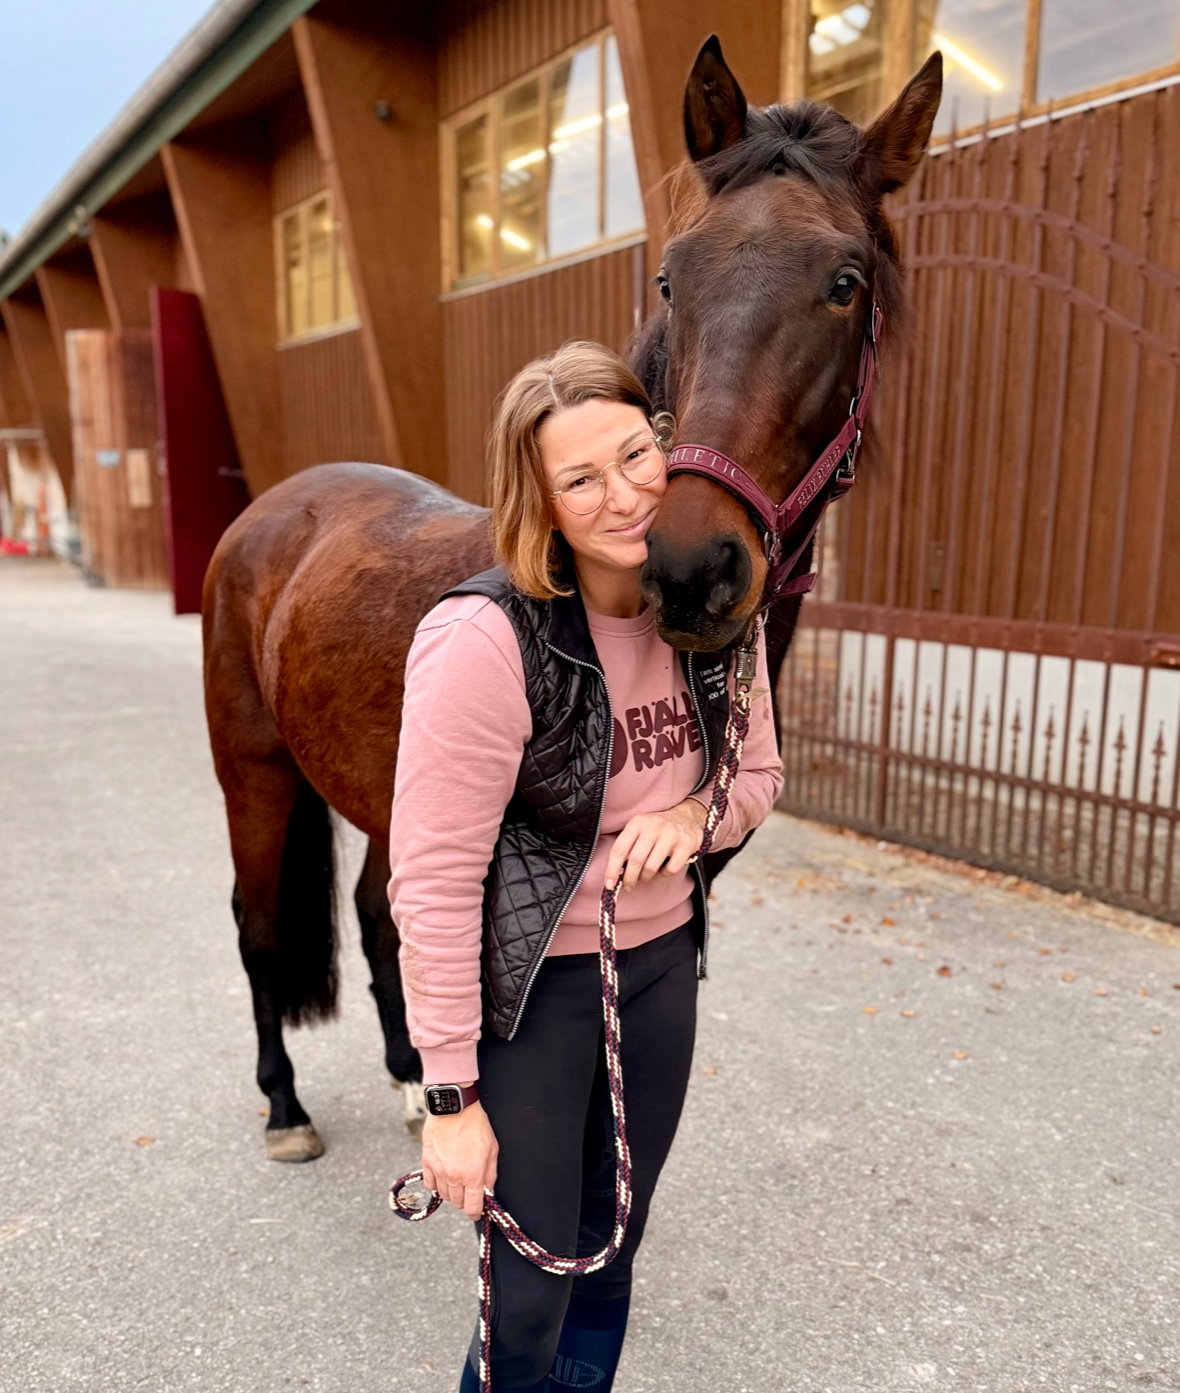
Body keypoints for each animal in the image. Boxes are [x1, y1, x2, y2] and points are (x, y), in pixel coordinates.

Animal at [202, 37, 943, 1162]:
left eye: (845, 282)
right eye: (672, 276)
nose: (688, 565)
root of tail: (275, 509)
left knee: (379, 914)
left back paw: (411, 1076)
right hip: (254, 774)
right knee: (256, 927)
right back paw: (285, 1106)